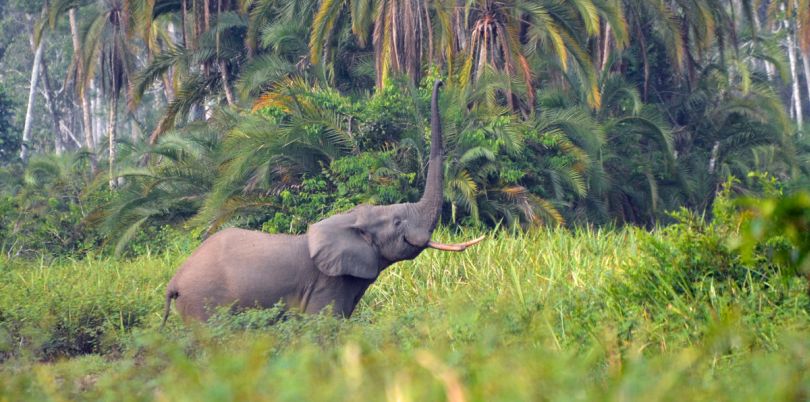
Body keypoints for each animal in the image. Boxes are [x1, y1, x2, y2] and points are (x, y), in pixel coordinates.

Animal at [161, 79, 482, 326]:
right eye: (397, 221)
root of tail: (173, 282)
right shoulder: (326, 284)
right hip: (203, 302)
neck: (348, 219)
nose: (440, 82)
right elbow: (324, 328)